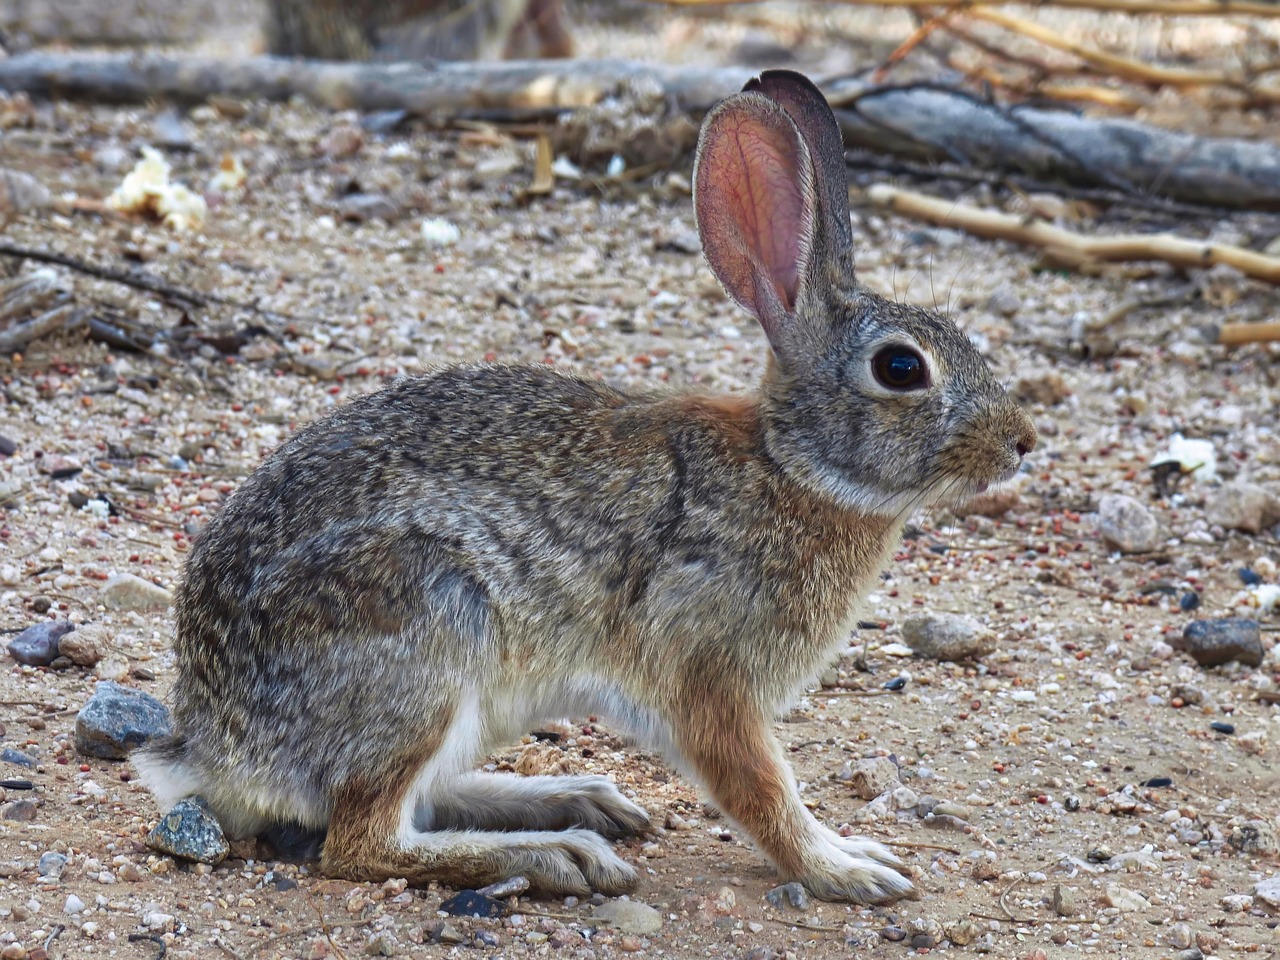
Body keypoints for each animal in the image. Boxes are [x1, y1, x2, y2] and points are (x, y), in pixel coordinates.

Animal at [133, 69, 1036, 905]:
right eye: (901, 368)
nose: (1022, 443)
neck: (789, 463)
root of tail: (215, 747)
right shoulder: (709, 676)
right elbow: (760, 789)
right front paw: (845, 868)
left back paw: (577, 800)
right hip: (426, 634)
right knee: (361, 842)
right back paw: (556, 853)